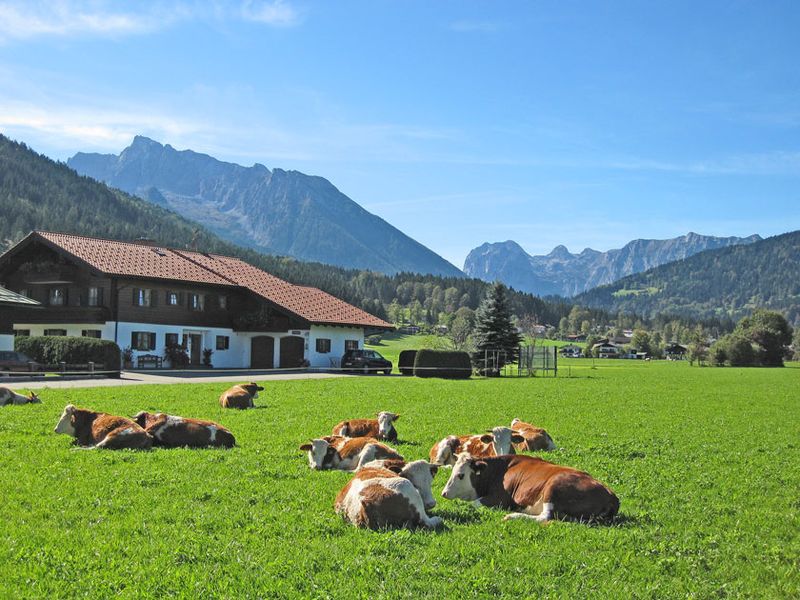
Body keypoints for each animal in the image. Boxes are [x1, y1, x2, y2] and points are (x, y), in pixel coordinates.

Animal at [438, 452, 620, 524]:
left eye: (461, 475)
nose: (444, 493)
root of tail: (612, 495)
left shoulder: (500, 499)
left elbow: (474, 503)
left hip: (553, 488)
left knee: (545, 517)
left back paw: (513, 515)